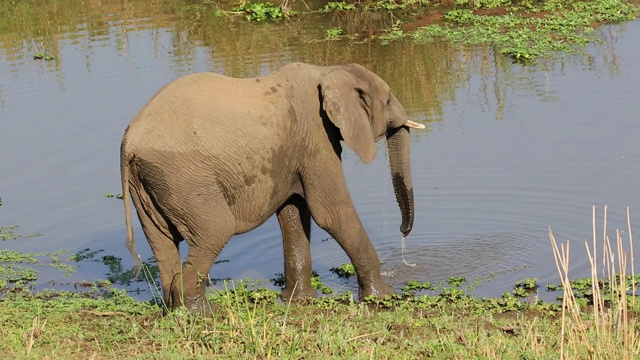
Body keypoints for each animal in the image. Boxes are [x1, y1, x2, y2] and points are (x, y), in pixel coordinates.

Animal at [121, 62, 424, 312]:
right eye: (387, 99)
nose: (403, 232)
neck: (328, 70)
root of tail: (128, 143)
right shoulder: (316, 136)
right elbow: (331, 213)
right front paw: (386, 296)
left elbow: (293, 212)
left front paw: (299, 300)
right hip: (183, 178)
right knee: (215, 229)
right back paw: (203, 314)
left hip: (150, 183)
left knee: (162, 242)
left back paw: (174, 310)